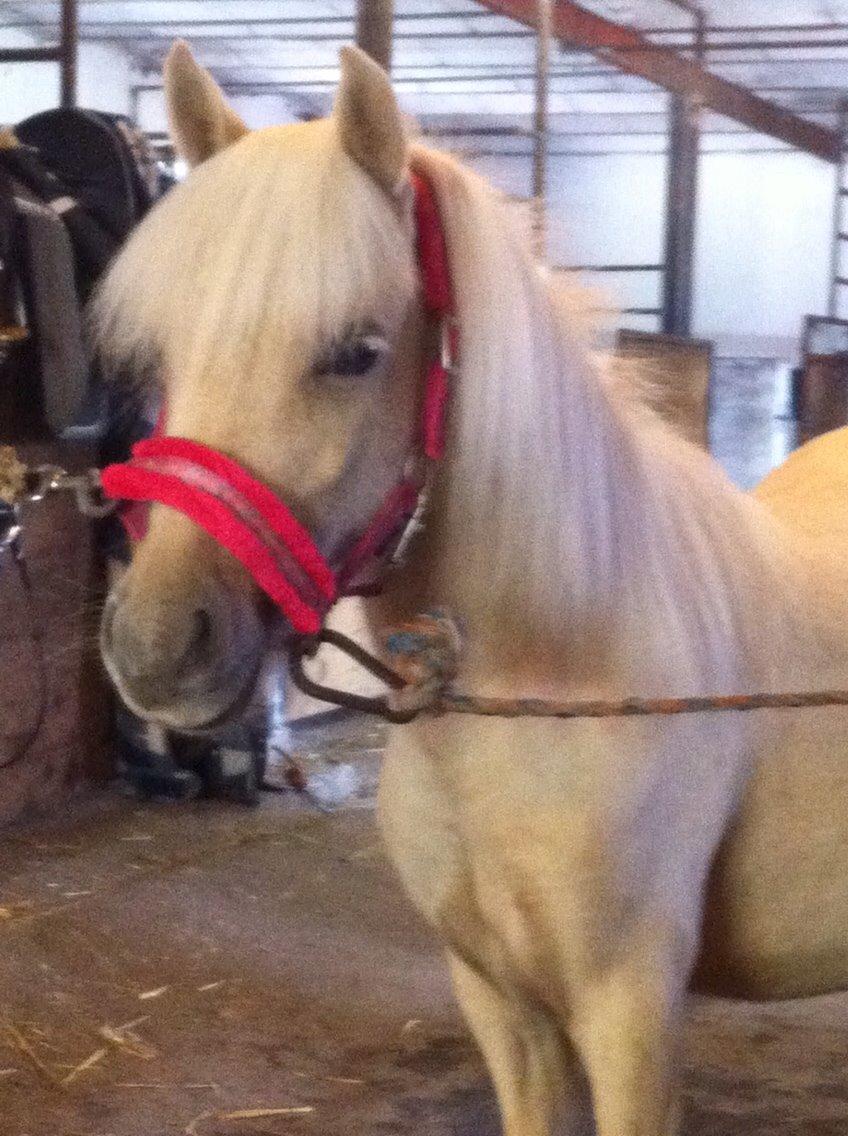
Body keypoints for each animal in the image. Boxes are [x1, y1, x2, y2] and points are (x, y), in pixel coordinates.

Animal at [95, 41, 848, 1136]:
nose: (156, 647)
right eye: (164, 351)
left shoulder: (630, 1012)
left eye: (355, 353)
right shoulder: (500, 1001)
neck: (563, 684)